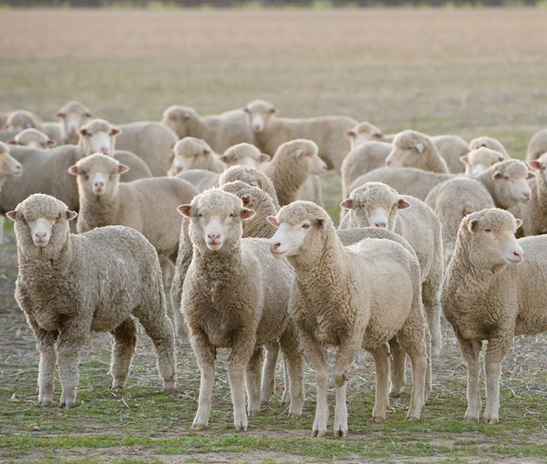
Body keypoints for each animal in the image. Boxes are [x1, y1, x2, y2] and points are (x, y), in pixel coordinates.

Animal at [7, 193, 177, 408]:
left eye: (56, 218)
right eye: (25, 219)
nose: (40, 236)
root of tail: (128, 229)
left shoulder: (77, 316)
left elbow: (66, 354)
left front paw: (68, 398)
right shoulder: (37, 321)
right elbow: (46, 355)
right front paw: (45, 396)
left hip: (151, 296)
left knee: (163, 331)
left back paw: (168, 380)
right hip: (114, 307)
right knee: (127, 334)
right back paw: (118, 380)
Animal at [178, 189, 305, 431]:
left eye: (232, 214)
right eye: (200, 214)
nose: (213, 237)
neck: (215, 292)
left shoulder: (243, 331)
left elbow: (235, 372)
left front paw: (239, 420)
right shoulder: (198, 332)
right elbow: (207, 373)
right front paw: (200, 419)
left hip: (289, 327)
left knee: (294, 361)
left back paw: (295, 407)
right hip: (255, 328)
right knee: (254, 364)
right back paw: (253, 406)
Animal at [268, 201, 429, 437]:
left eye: (305, 225)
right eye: (278, 223)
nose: (274, 244)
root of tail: (389, 241)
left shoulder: (350, 333)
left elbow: (339, 376)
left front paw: (340, 426)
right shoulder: (308, 334)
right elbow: (321, 376)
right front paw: (319, 426)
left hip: (410, 317)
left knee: (418, 358)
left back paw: (414, 411)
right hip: (372, 327)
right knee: (382, 359)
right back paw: (379, 411)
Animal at [339, 182, 444, 358]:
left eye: (392, 206)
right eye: (362, 205)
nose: (381, 224)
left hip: (434, 270)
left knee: (432, 305)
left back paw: (436, 346)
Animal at [441, 207, 547, 423]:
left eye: (514, 231)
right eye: (488, 230)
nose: (518, 253)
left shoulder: (502, 328)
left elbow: (491, 369)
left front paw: (491, 414)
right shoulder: (464, 333)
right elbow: (473, 369)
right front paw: (472, 412)